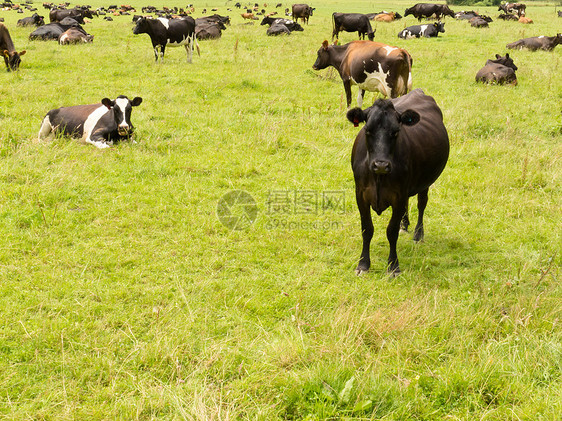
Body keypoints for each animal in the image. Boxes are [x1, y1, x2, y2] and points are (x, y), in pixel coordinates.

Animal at [344, 88, 448, 276]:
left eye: (396, 131)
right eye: (367, 130)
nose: (381, 165)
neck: (378, 177)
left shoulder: (398, 195)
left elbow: (391, 232)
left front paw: (393, 266)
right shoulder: (360, 194)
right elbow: (367, 229)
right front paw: (363, 264)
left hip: (425, 182)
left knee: (422, 204)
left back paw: (418, 234)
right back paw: (404, 225)